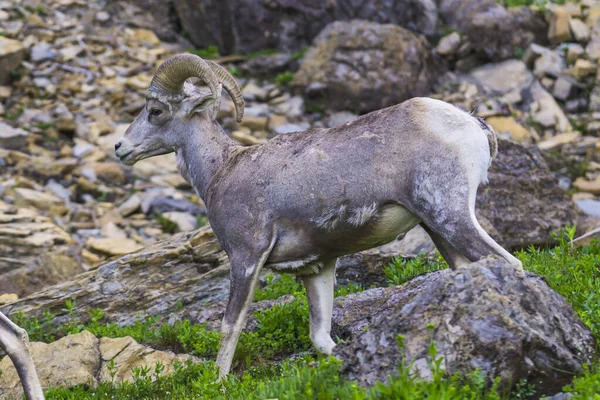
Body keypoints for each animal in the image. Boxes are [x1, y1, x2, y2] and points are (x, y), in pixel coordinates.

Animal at [115, 54, 524, 378]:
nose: (120, 148)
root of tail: (473, 126)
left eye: (156, 111)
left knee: (511, 264)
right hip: (438, 229)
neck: (222, 170)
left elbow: (231, 326)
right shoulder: (318, 268)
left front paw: (218, 382)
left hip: (450, 216)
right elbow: (321, 338)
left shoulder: (247, 258)